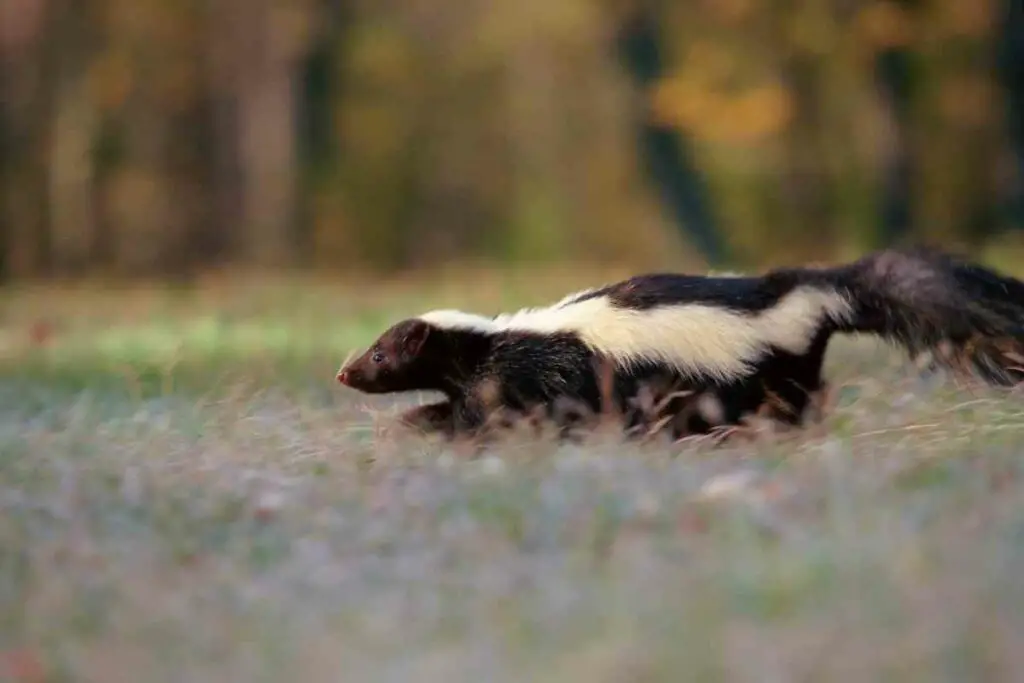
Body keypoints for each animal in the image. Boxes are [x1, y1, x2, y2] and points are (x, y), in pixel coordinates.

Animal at [335, 248, 1024, 440]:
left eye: (379, 354)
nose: (343, 373)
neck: (492, 341)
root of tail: (801, 294)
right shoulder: (485, 383)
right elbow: (461, 412)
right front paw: (414, 423)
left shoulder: (541, 377)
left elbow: (510, 418)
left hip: (757, 374)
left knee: (788, 404)